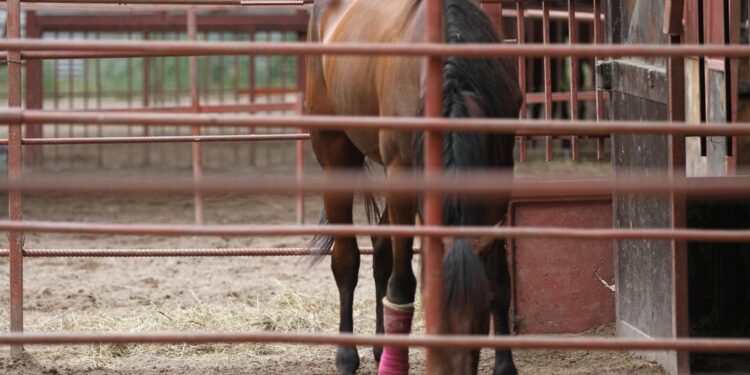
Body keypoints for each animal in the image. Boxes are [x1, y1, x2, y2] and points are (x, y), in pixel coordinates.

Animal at [306, 1, 524, 374]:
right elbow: (403, 283)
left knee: (380, 247)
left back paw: (380, 346)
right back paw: (347, 355)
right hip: (335, 152)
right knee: (347, 259)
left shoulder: (497, 174)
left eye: (478, 324)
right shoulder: (402, 173)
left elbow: (498, 279)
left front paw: (505, 365)